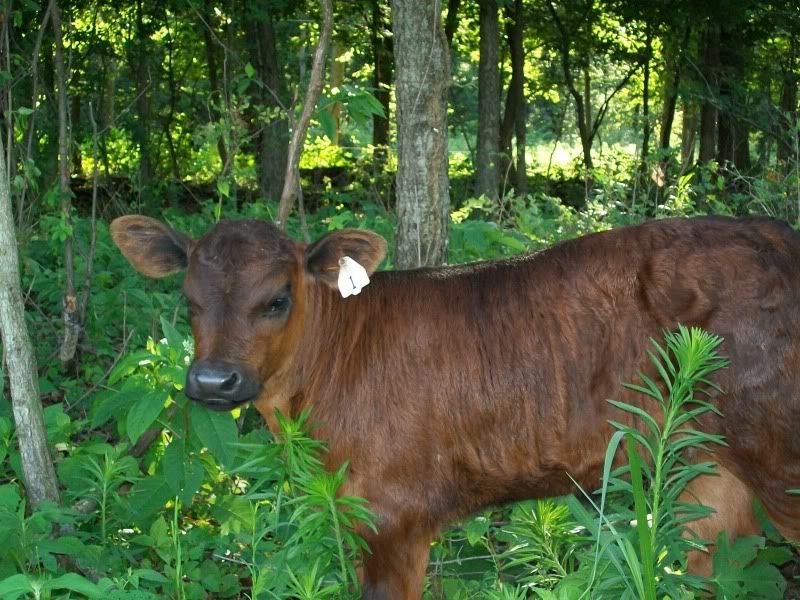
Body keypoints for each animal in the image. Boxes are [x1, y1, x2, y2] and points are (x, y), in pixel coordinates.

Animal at [111, 214, 800, 599]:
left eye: (277, 299)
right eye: (188, 299)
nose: (213, 381)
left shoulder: (392, 514)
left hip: (779, 454)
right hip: (708, 473)